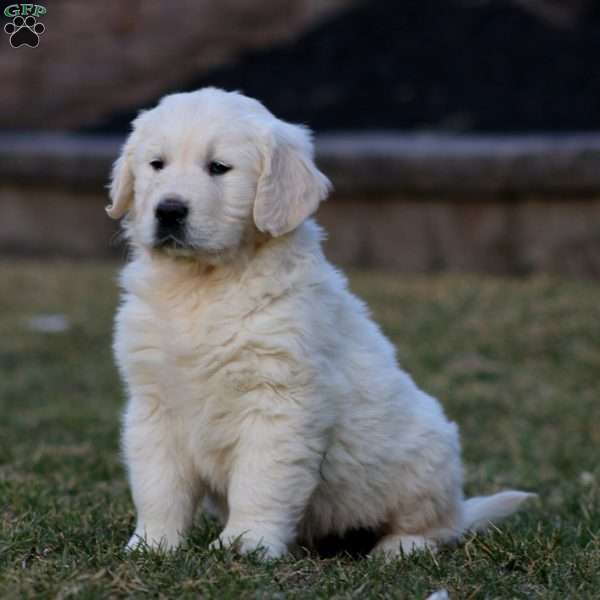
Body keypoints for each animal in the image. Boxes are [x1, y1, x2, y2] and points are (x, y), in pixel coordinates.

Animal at [108, 88, 536, 556]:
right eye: (157, 164)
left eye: (219, 167)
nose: (168, 211)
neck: (202, 286)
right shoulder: (154, 402)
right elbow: (158, 485)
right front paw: (152, 545)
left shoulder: (278, 401)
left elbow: (259, 481)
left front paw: (245, 543)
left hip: (426, 462)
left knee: (437, 527)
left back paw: (398, 548)